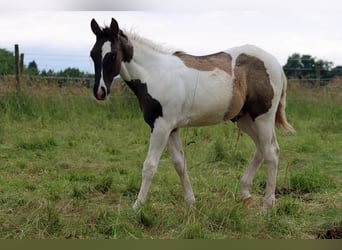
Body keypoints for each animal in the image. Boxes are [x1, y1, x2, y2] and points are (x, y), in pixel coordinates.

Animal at [90, 17, 294, 211]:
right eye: (92, 54)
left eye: (113, 55)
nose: (100, 92)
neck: (155, 74)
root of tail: (276, 64)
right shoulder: (172, 128)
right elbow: (180, 164)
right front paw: (191, 203)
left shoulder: (161, 127)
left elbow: (149, 166)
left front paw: (136, 207)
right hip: (245, 119)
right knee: (262, 148)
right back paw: (246, 194)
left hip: (263, 117)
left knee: (271, 152)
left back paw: (267, 206)